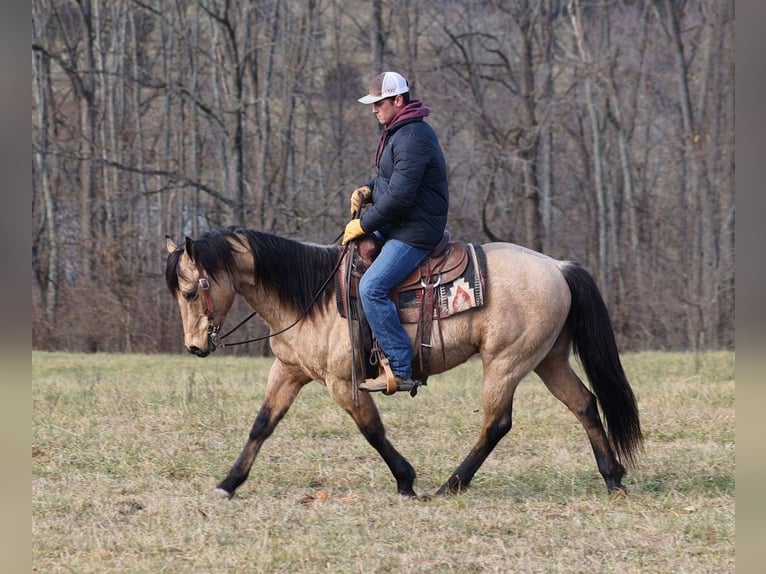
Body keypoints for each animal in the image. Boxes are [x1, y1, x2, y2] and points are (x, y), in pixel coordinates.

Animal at [165, 225, 644, 500]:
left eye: (189, 291)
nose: (194, 346)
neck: (313, 296)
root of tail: (558, 267)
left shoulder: (343, 383)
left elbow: (372, 430)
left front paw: (406, 480)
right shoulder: (288, 372)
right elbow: (261, 426)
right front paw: (228, 484)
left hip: (506, 362)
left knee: (497, 423)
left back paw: (451, 484)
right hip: (549, 359)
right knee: (584, 404)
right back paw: (612, 476)